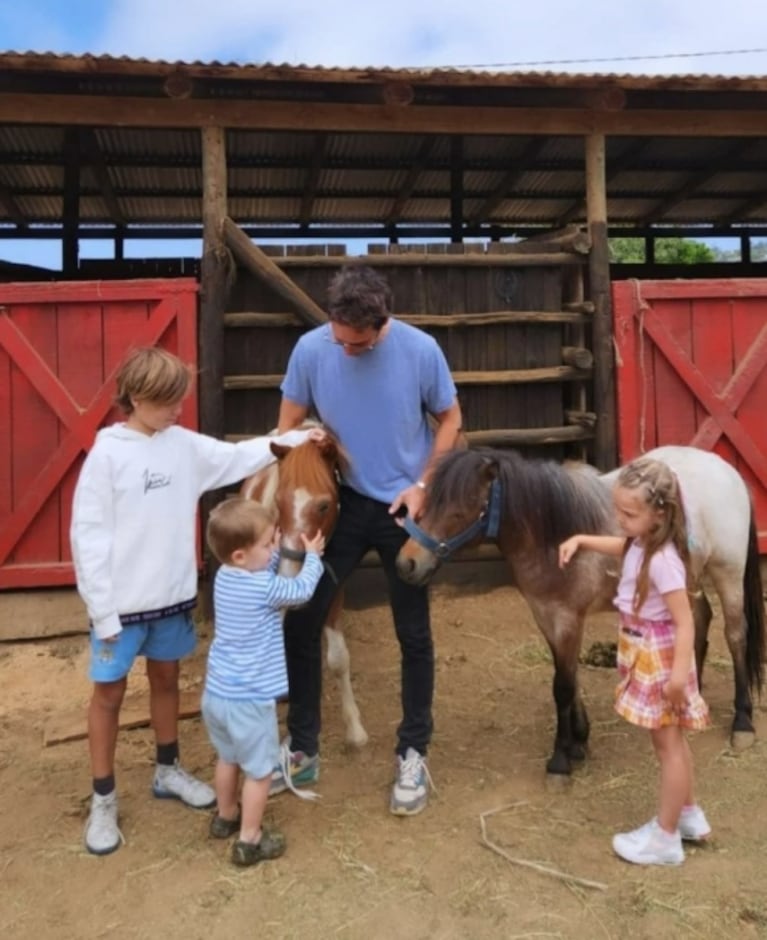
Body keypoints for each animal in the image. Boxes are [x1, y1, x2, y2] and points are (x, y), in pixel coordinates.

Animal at [400, 448, 764, 780]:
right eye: (428, 502)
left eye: (459, 510)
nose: (407, 563)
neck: (552, 535)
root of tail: (728, 470)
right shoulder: (548, 617)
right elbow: (570, 676)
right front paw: (579, 742)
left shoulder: (567, 619)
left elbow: (562, 685)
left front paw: (560, 759)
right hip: (688, 578)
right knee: (699, 622)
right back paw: (689, 697)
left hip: (727, 574)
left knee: (735, 636)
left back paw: (742, 722)